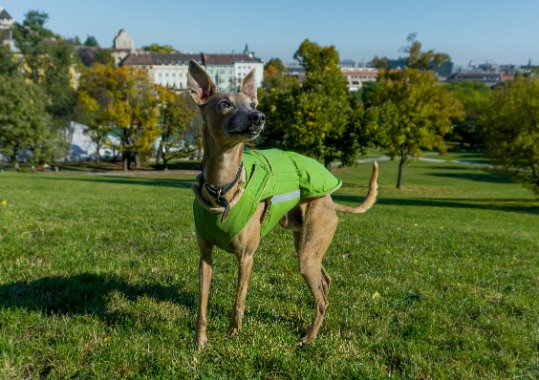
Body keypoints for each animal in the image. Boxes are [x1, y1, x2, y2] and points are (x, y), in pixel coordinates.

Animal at [189, 60, 380, 352]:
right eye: (224, 104)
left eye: (252, 104)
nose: (258, 117)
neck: (221, 188)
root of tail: (331, 202)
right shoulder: (205, 257)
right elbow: (202, 304)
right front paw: (200, 342)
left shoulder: (246, 258)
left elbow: (238, 300)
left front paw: (233, 333)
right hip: (307, 246)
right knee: (325, 282)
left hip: (307, 255)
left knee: (321, 299)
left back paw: (309, 337)